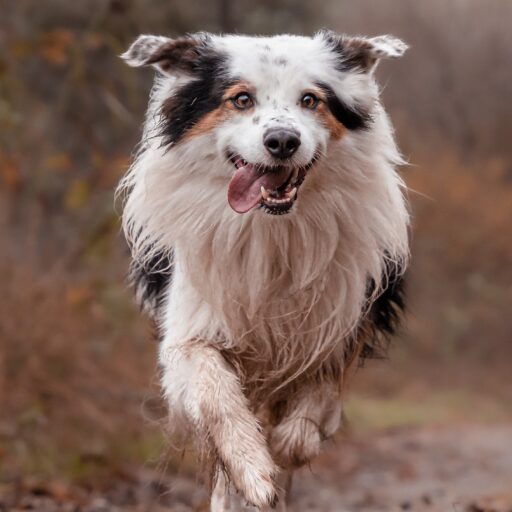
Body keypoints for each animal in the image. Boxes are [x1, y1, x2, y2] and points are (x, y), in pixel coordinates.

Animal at [118, 30, 410, 510]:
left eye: (310, 100)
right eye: (241, 99)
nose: (282, 140)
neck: (271, 230)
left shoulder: (341, 323)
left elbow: (310, 416)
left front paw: (283, 449)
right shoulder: (190, 331)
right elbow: (216, 395)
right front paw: (253, 470)